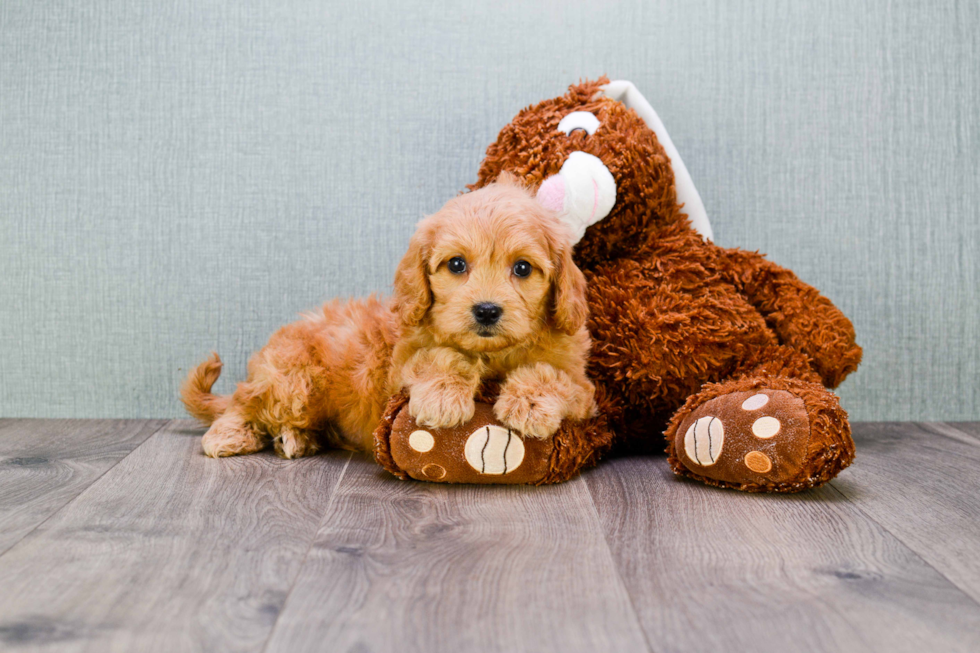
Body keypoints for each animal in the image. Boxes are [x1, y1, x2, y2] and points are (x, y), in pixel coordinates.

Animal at [183, 176, 596, 456]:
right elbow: (438, 356)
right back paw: (231, 434)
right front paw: (443, 397)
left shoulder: (584, 389)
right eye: (457, 265)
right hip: (293, 379)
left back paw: (297, 439)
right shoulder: (398, 369)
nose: (487, 310)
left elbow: (552, 375)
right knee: (244, 403)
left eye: (523, 268)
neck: (492, 355)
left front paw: (529, 404)